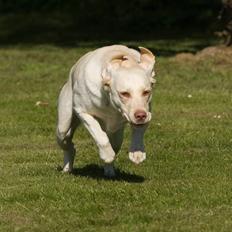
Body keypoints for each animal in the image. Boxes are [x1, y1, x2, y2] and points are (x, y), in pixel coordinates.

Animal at [55, 44, 156, 177]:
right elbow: (99, 135)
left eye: (146, 92)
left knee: (115, 144)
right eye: (124, 93)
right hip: (63, 125)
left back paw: (109, 171)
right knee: (67, 142)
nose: (140, 115)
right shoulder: (83, 112)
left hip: (117, 135)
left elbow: (139, 130)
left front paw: (137, 152)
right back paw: (67, 168)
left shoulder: (147, 111)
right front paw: (107, 154)